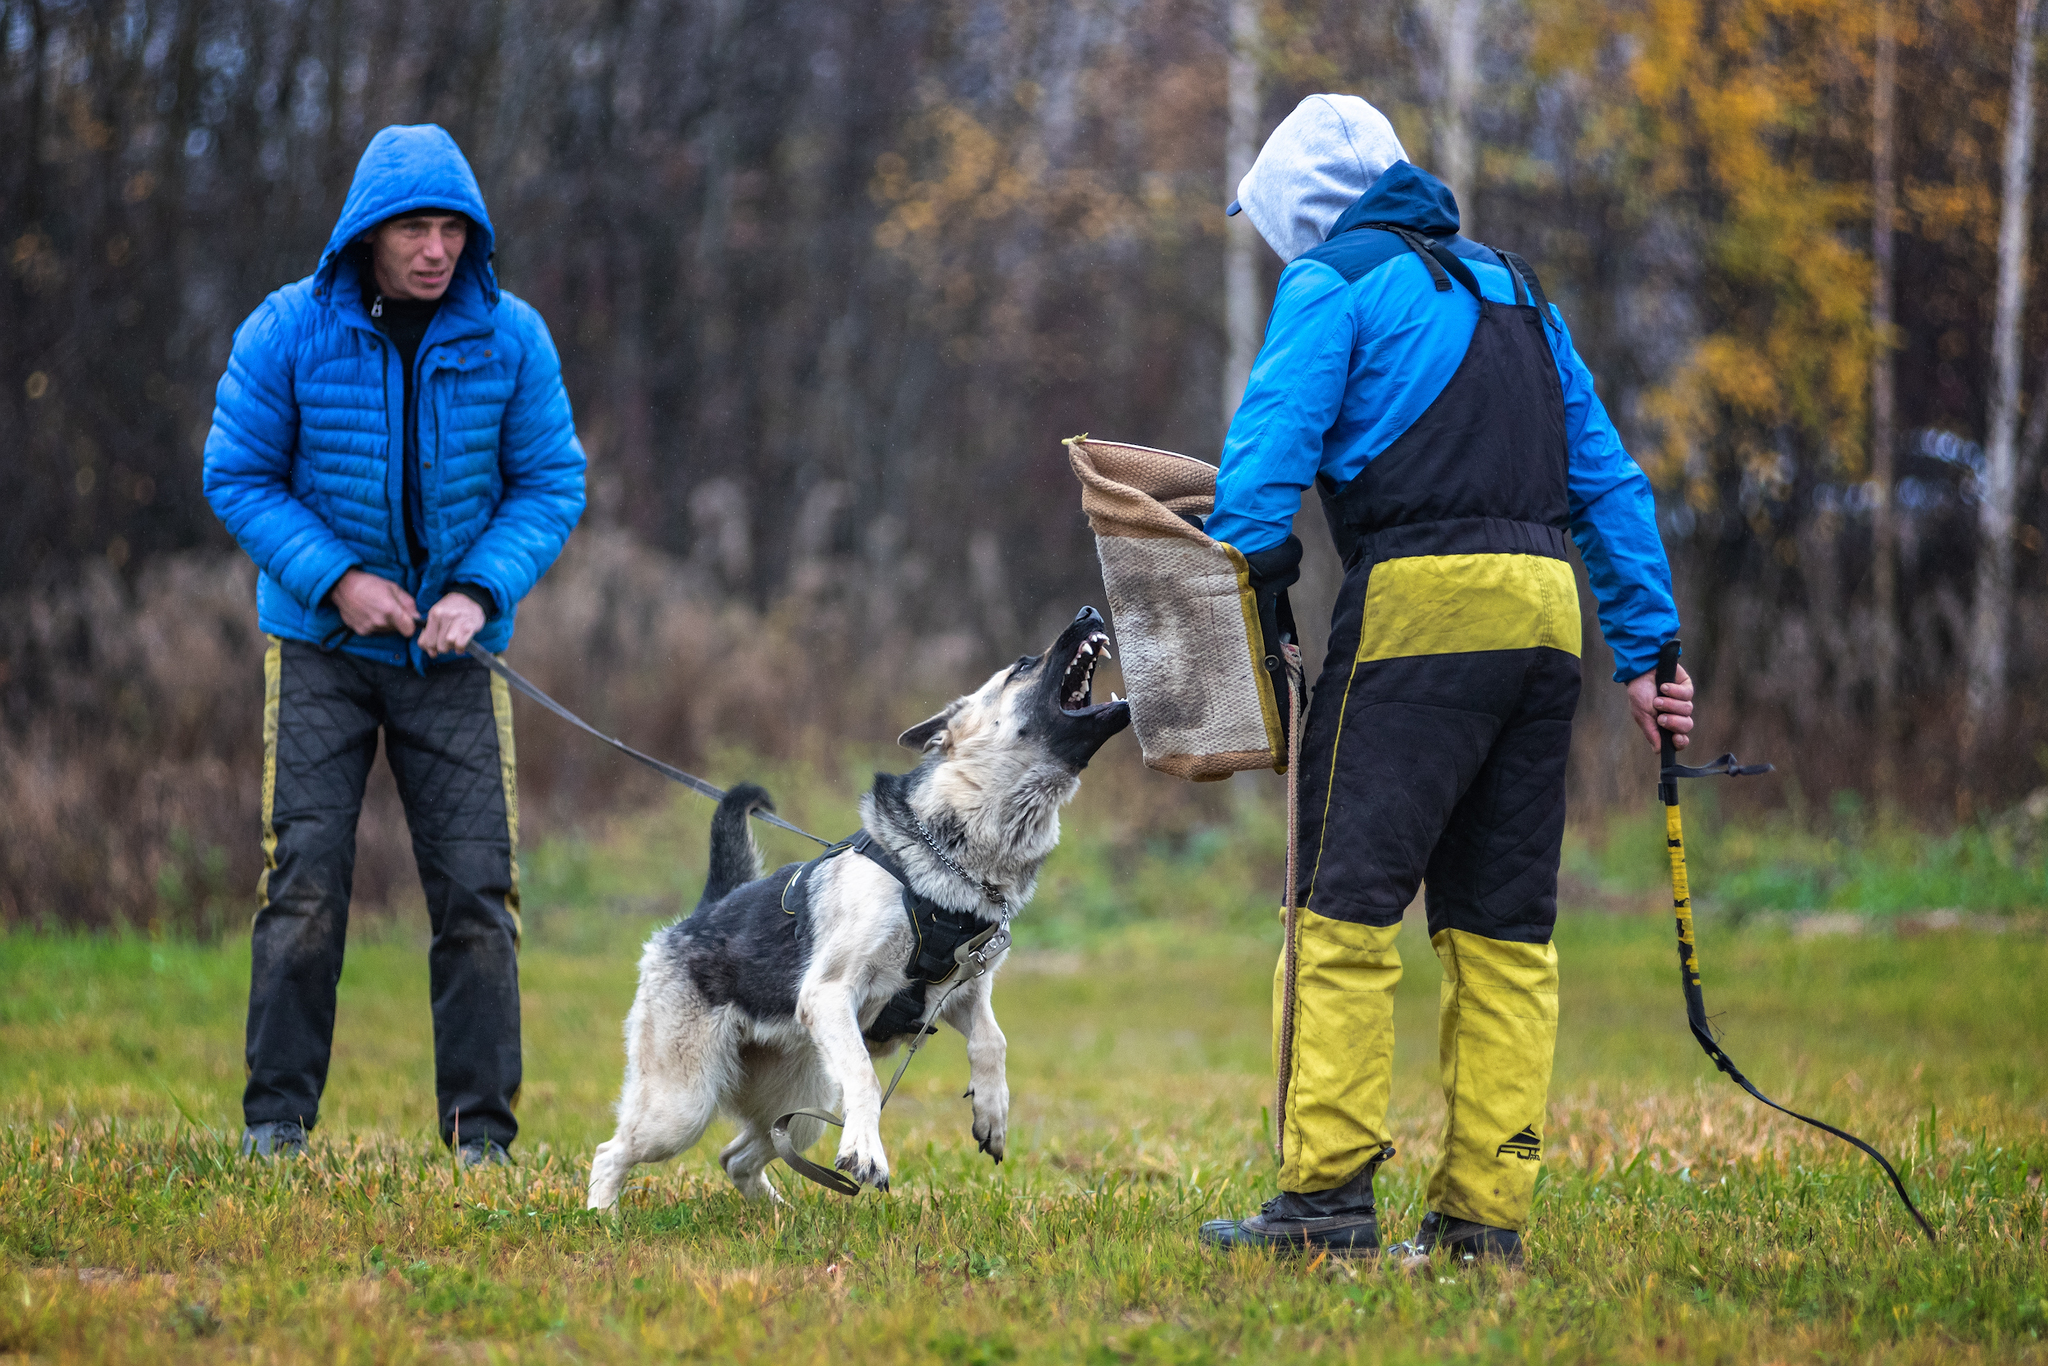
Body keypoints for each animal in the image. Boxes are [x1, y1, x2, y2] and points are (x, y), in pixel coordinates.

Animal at [585, 610, 1138, 1204]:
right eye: (1022, 665)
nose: (1089, 613)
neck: (957, 854)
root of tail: (700, 916)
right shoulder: (832, 995)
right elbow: (868, 1082)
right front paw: (867, 1154)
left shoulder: (960, 993)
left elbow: (993, 1040)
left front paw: (992, 1112)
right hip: (682, 1106)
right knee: (613, 1152)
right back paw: (602, 1214)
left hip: (804, 1103)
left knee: (740, 1156)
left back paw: (775, 1212)